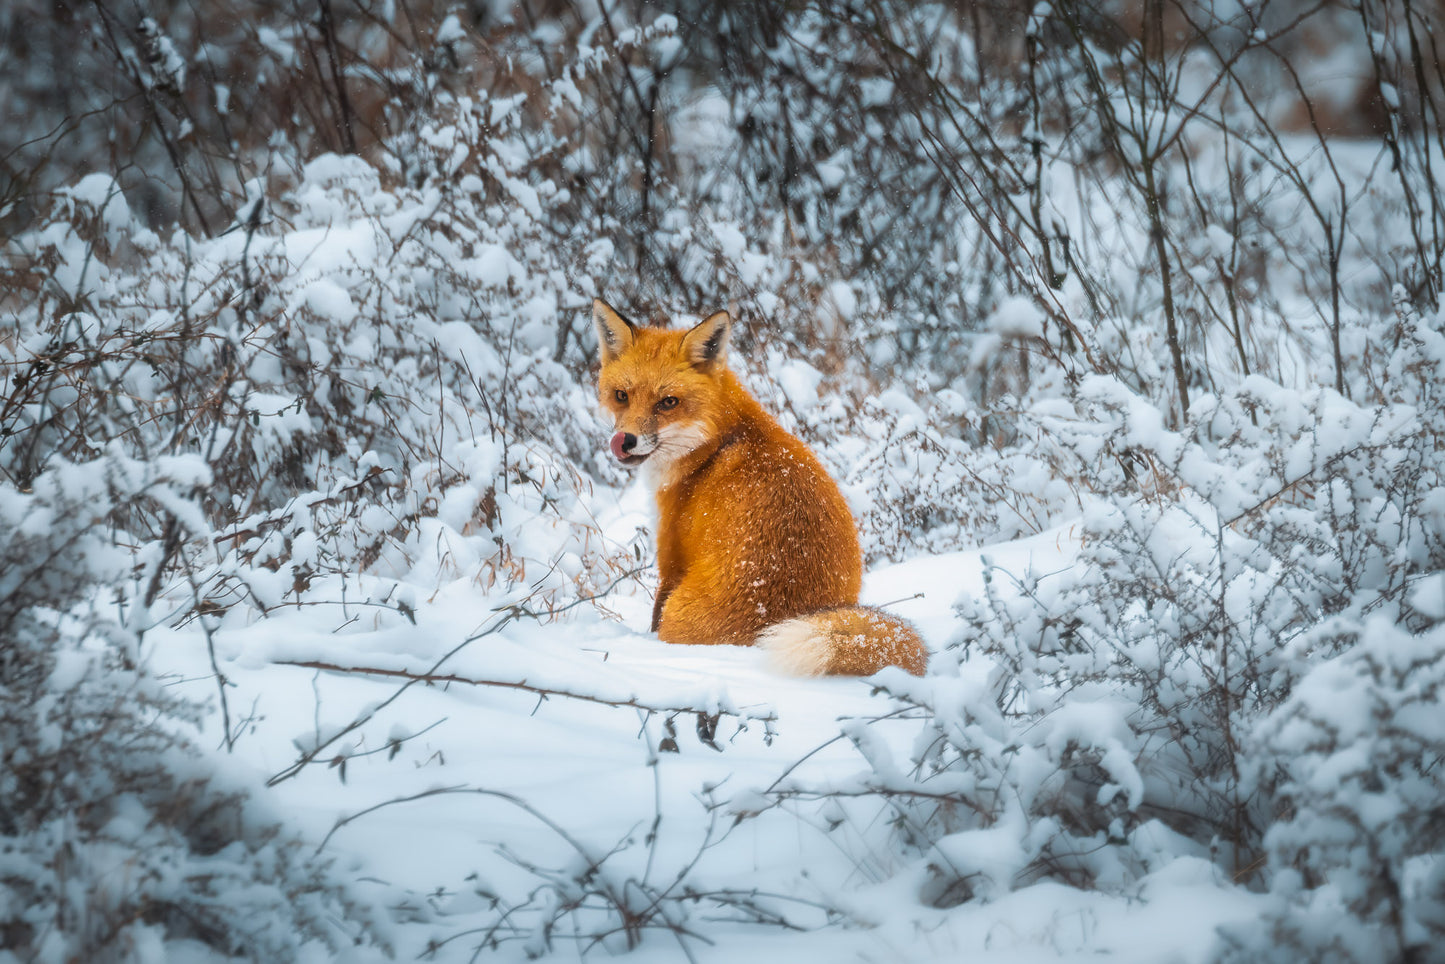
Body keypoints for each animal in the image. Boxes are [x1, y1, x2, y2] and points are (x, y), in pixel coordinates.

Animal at [592, 298, 927, 677]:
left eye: (668, 402)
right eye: (621, 396)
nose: (625, 441)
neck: (714, 441)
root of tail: (778, 620)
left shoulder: (671, 555)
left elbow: (654, 609)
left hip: (678, 609)